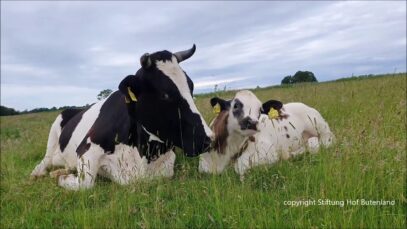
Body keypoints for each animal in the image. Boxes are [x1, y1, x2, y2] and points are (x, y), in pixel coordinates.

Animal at [31, 44, 214, 190]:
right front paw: (60, 177)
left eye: (191, 86)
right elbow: (85, 184)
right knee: (46, 159)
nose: (209, 139)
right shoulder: (86, 147)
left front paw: (61, 174)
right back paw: (38, 173)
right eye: (165, 94)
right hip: (54, 132)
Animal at [198, 90, 334, 178]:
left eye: (259, 111)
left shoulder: (268, 152)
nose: (253, 122)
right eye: (236, 105)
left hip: (321, 127)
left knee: (325, 141)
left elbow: (240, 166)